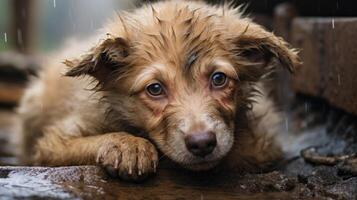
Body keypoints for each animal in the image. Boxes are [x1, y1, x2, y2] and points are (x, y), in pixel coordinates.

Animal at [18, 0, 298, 181]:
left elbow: (244, 152)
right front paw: (129, 146)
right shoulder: (53, 143)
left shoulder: (265, 142)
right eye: (155, 89)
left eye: (219, 79)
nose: (202, 143)